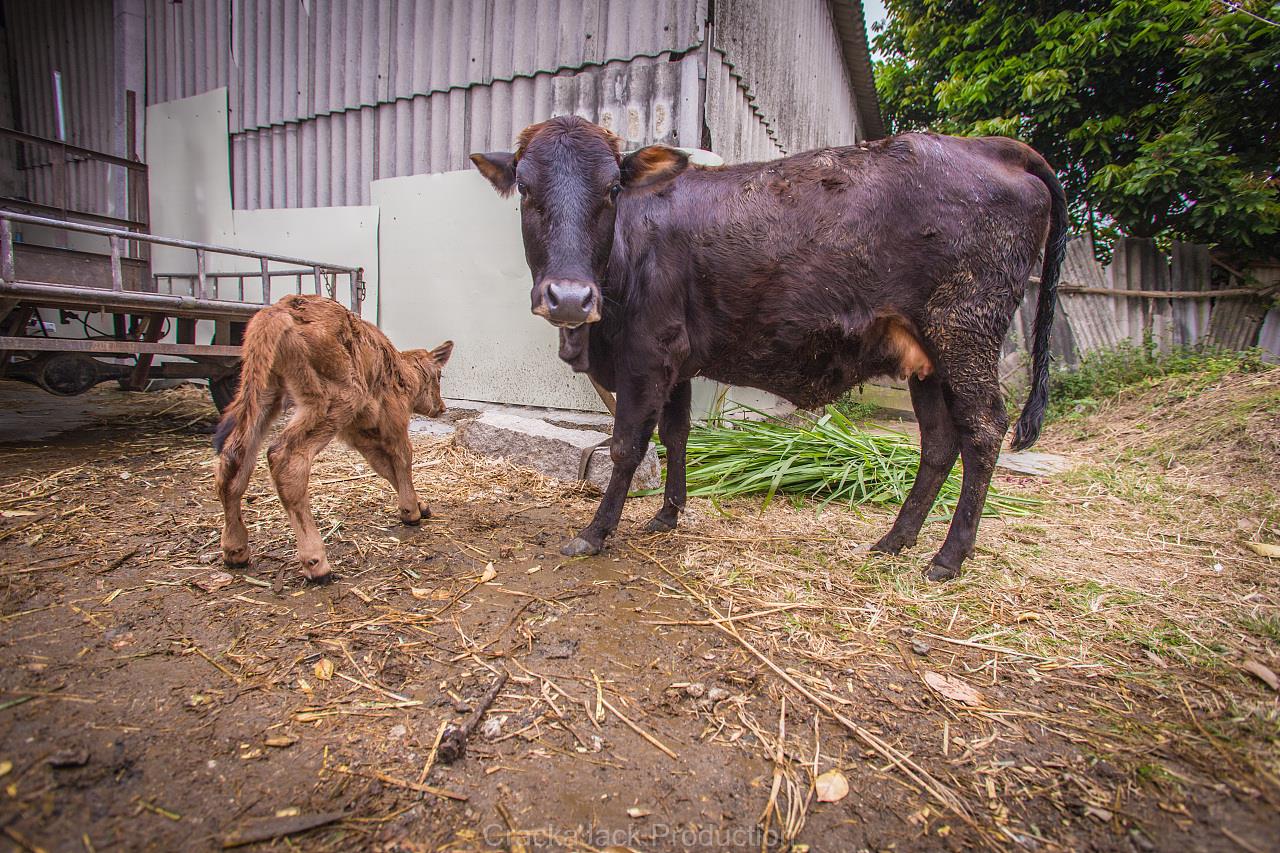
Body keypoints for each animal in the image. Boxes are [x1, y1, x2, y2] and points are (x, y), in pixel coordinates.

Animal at [211, 292, 450, 578]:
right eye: (438, 376)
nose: (441, 407)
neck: (403, 372)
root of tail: (279, 311)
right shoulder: (393, 422)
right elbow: (402, 458)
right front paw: (411, 512)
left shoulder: (359, 433)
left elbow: (384, 467)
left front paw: (420, 505)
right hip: (334, 399)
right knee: (285, 458)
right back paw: (317, 563)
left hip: (265, 393)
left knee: (234, 457)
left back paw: (235, 550)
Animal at [476, 117, 1064, 578]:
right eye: (525, 189)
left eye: (613, 189)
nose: (570, 297)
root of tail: (991, 145)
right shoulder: (678, 363)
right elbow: (676, 435)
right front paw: (667, 515)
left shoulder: (646, 354)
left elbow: (626, 447)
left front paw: (596, 532)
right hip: (927, 360)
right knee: (939, 444)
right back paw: (894, 540)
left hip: (964, 333)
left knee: (983, 431)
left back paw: (948, 556)